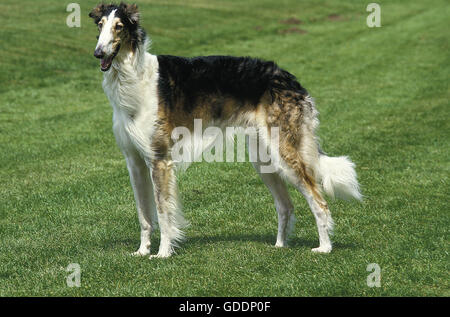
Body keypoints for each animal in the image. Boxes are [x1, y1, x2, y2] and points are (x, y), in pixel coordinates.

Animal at [89, 2, 362, 258]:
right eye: (100, 25)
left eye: (119, 26)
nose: (98, 53)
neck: (134, 78)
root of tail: (291, 80)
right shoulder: (134, 161)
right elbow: (144, 215)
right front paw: (142, 251)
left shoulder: (160, 159)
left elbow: (163, 212)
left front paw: (163, 253)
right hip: (263, 160)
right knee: (286, 206)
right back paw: (280, 245)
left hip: (285, 154)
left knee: (319, 202)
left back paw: (324, 247)